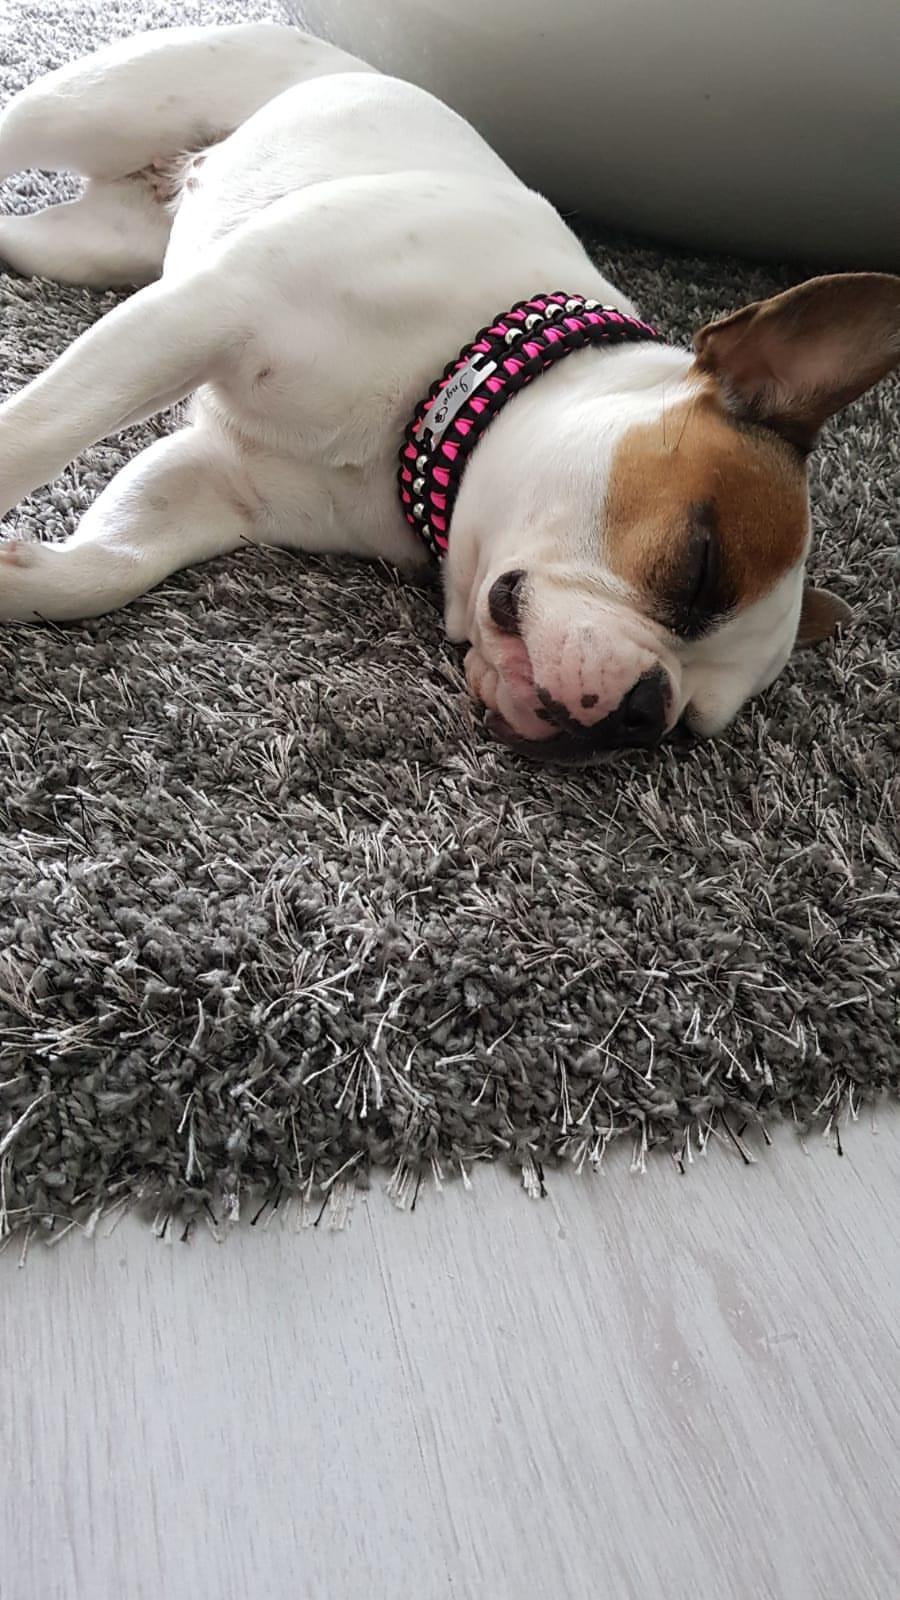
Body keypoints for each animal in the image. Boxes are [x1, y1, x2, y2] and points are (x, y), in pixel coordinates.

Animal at [0, 22, 897, 759]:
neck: (454, 390)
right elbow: (39, 433)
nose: (643, 713)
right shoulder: (207, 314)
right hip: (99, 109)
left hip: (93, 245)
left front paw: (27, 577)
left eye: (687, 729)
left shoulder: (215, 481)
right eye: (699, 568)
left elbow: (114, 560)